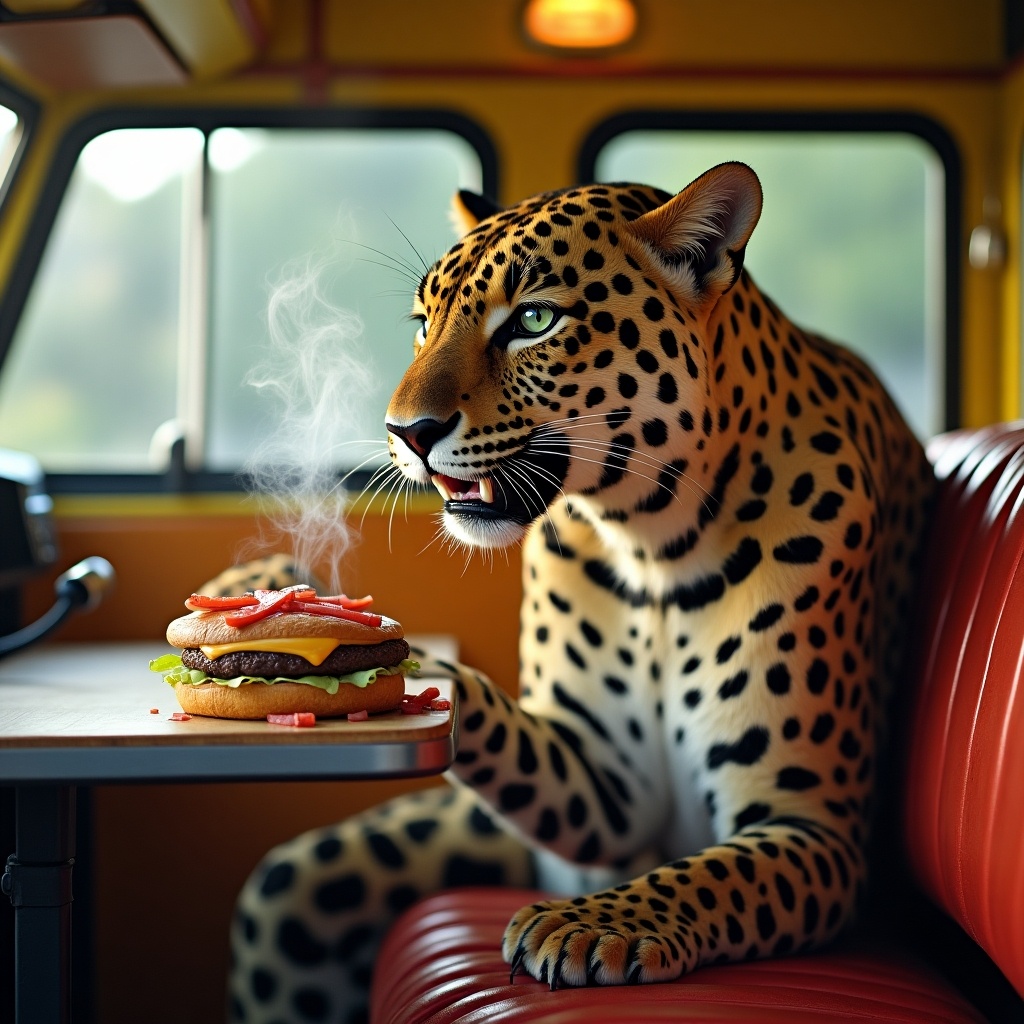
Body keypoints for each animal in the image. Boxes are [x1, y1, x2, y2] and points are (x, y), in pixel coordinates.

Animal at [228, 163, 933, 1024]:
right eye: (423, 323)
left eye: (534, 320)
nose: (405, 433)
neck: (654, 540)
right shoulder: (607, 789)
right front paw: (267, 593)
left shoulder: (808, 823)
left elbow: (703, 876)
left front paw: (592, 924)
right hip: (304, 895)